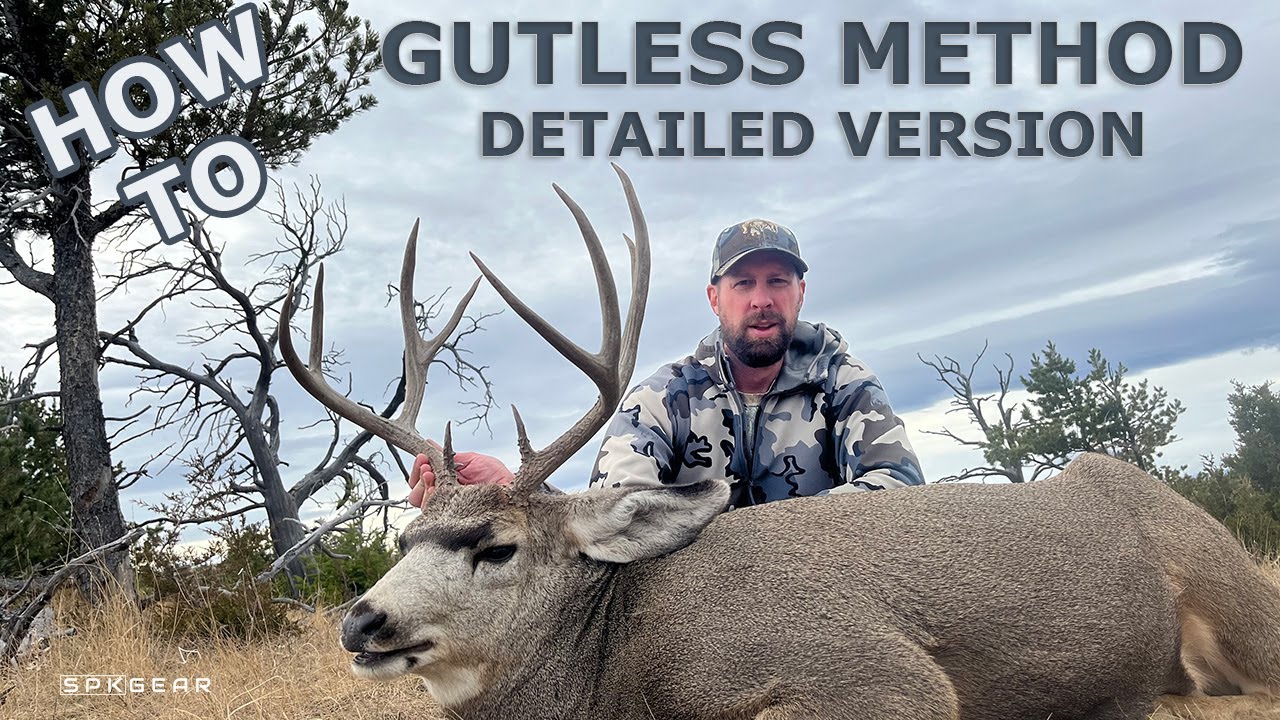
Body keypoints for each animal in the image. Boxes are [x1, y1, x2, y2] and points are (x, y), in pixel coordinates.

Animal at [279, 165, 1280, 720]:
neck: (612, 665)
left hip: (1236, 597)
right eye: (405, 538)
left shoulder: (876, 678)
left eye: (496, 547)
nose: (360, 621)